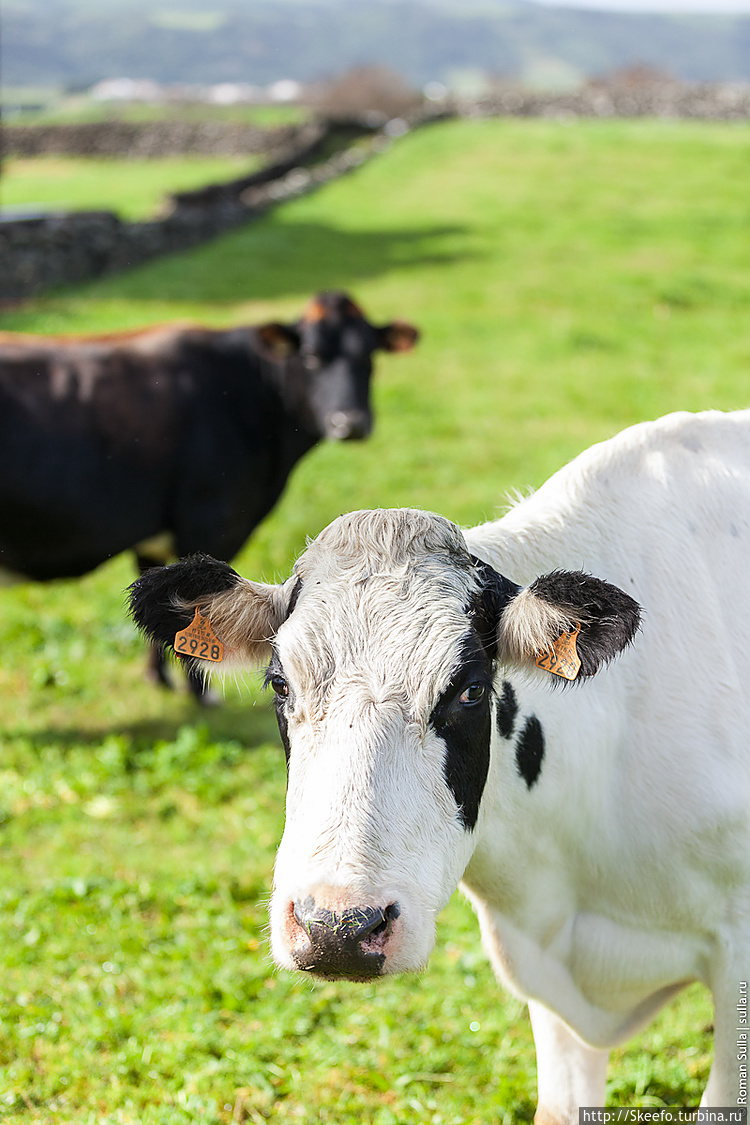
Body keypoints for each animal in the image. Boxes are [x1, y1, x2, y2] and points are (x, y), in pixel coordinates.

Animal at [0, 290, 416, 693]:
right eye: (311, 355)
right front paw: (200, 693)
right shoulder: (208, 518)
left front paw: (158, 679)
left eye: (369, 354)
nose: (351, 422)